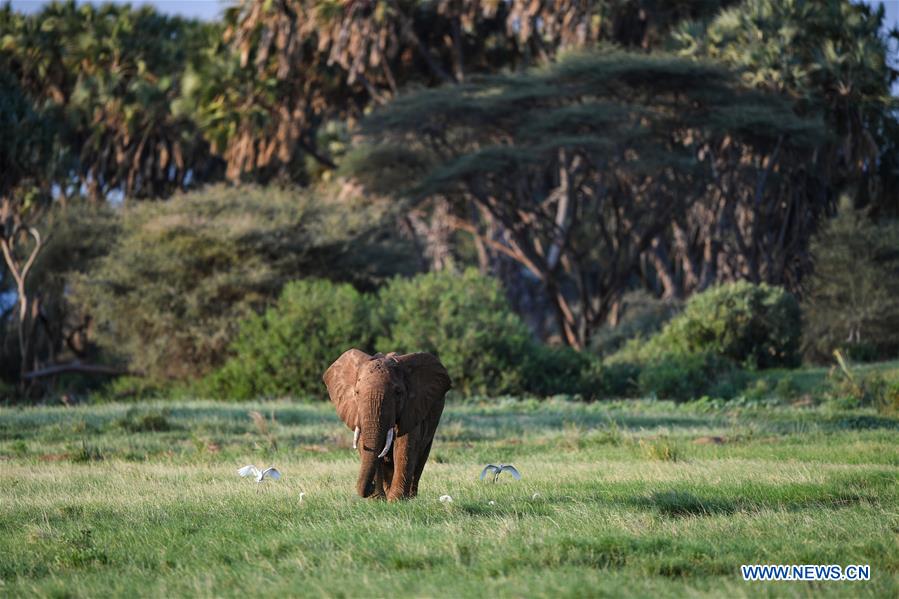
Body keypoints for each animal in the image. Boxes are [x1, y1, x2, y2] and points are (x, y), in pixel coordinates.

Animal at [322, 350, 450, 500]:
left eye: (398, 392)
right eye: (357, 392)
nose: (370, 487)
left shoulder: (413, 408)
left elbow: (404, 445)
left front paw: (396, 500)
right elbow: (365, 444)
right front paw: (377, 500)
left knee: (421, 456)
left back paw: (411, 497)